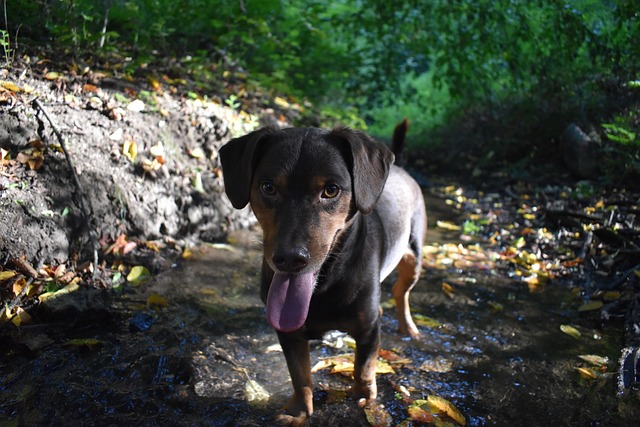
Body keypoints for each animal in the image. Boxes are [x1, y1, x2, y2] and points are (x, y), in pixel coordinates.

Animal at [219, 121, 424, 427]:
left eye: (331, 190)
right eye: (268, 187)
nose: (290, 259)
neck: (324, 285)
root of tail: (400, 168)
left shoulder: (367, 328)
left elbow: (363, 367)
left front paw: (364, 398)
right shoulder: (289, 333)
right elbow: (300, 375)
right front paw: (299, 411)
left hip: (414, 259)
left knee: (402, 294)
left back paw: (408, 327)